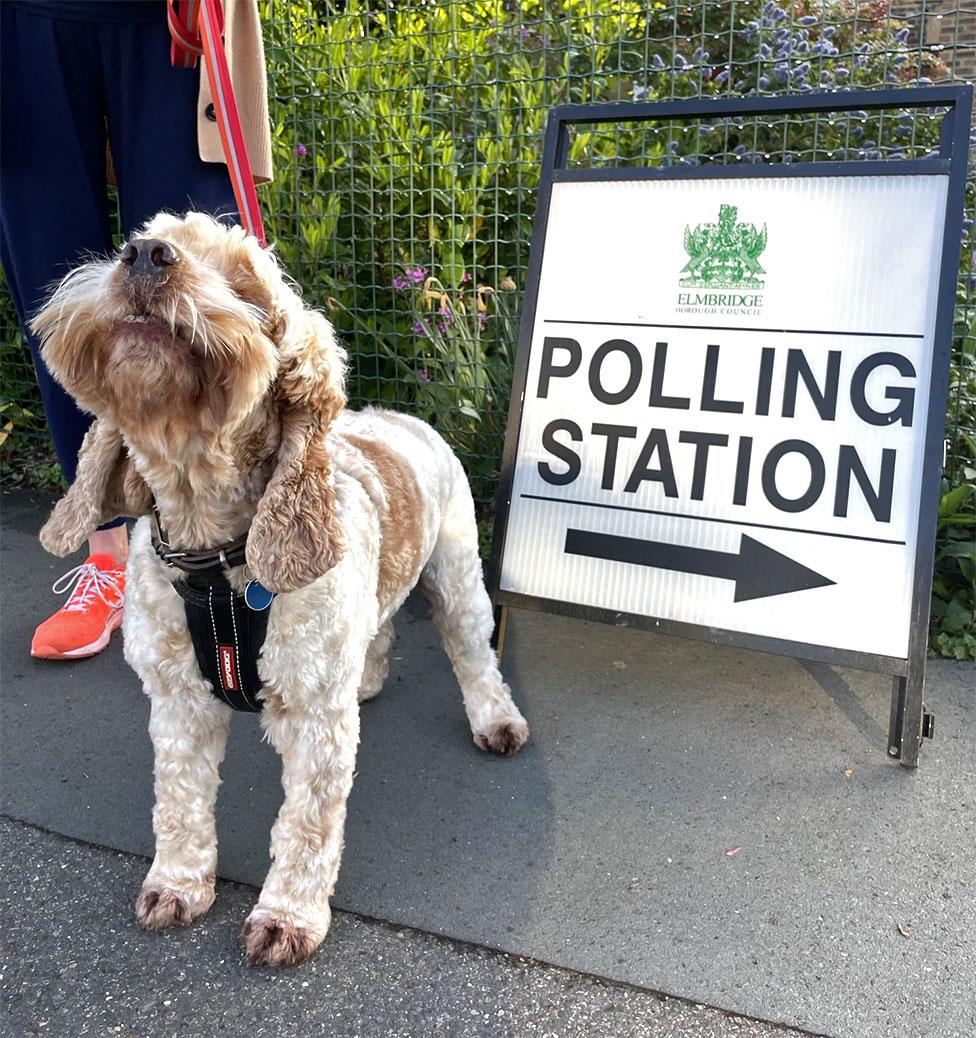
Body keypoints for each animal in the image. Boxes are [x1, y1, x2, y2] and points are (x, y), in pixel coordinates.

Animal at [30, 214, 529, 967]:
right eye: (135, 241)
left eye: (244, 283)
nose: (144, 256)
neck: (213, 556)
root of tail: (403, 417)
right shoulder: (176, 701)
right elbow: (179, 802)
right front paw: (178, 884)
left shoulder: (315, 717)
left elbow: (307, 826)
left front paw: (287, 917)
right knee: (379, 625)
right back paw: (369, 679)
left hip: (458, 573)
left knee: (473, 655)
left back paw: (496, 721)